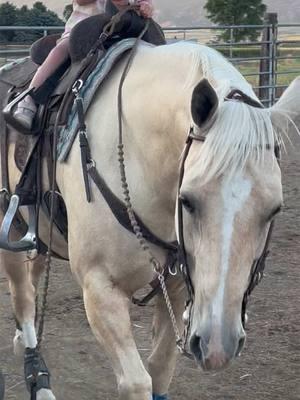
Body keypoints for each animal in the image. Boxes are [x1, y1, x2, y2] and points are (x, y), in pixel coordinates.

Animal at [0, 41, 300, 400]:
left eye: (274, 210)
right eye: (188, 201)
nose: (218, 345)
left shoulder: (178, 284)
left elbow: (160, 369)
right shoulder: (99, 289)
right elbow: (138, 381)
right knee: (22, 294)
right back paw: (38, 374)